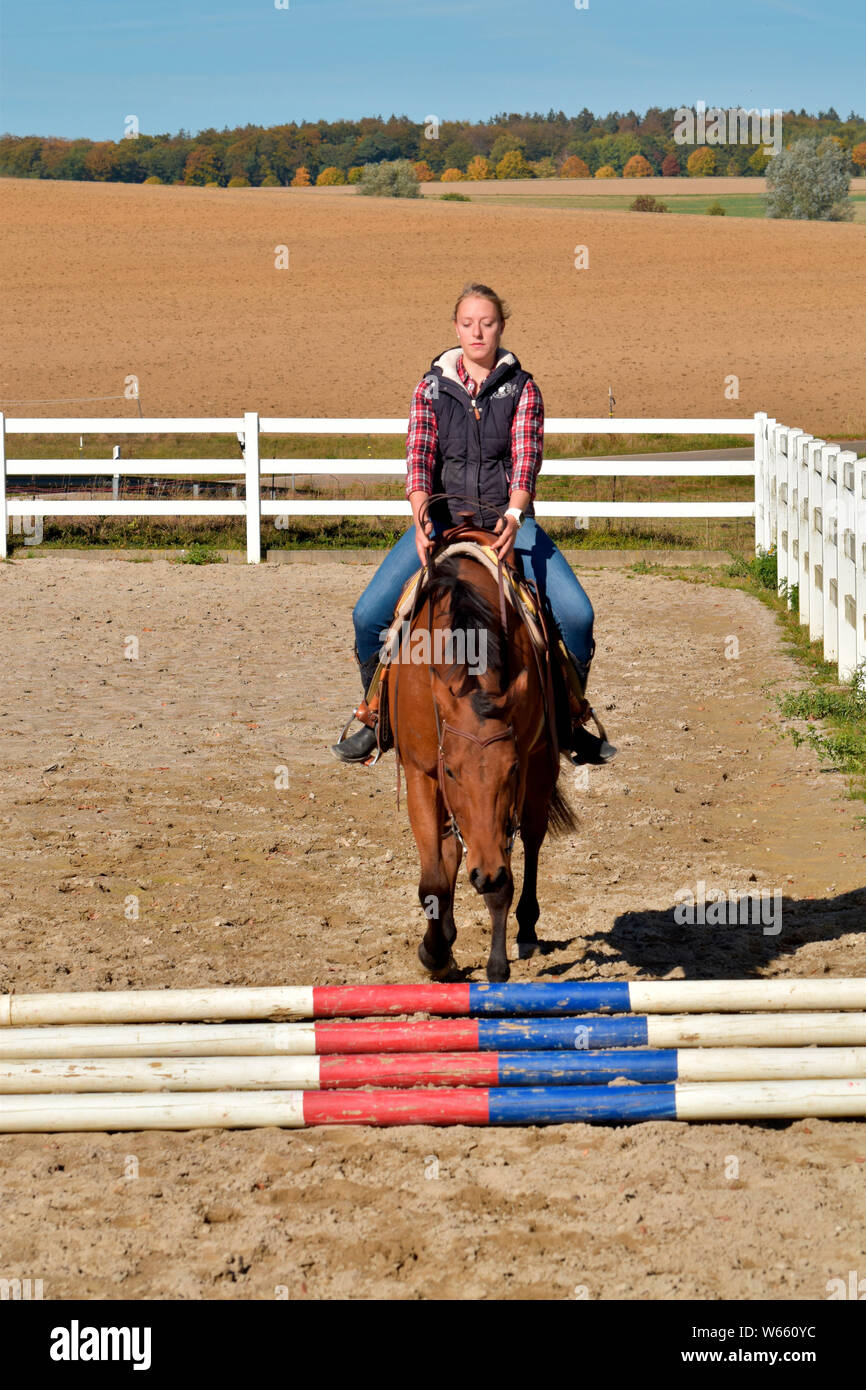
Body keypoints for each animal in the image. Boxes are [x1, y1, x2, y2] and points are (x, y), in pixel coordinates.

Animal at [389, 542, 578, 978]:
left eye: (510, 769)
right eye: (452, 770)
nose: (485, 873)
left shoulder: (524, 771)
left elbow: (504, 880)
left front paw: (496, 965)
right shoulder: (423, 773)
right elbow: (434, 878)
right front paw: (436, 954)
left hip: (543, 769)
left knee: (532, 839)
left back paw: (526, 929)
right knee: (453, 850)